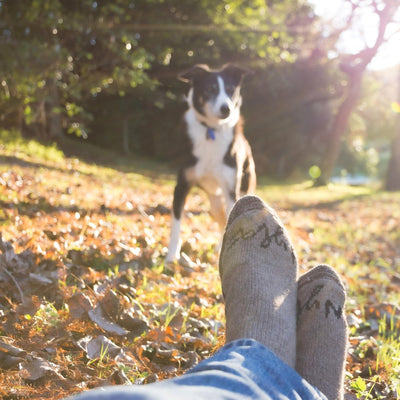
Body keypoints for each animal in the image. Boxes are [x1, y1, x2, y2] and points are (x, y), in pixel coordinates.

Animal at [166, 64, 256, 264]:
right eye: (210, 89)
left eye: (230, 89)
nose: (226, 109)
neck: (211, 129)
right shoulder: (182, 185)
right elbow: (176, 223)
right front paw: (171, 255)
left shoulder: (231, 190)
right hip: (214, 204)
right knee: (221, 218)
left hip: (243, 189)